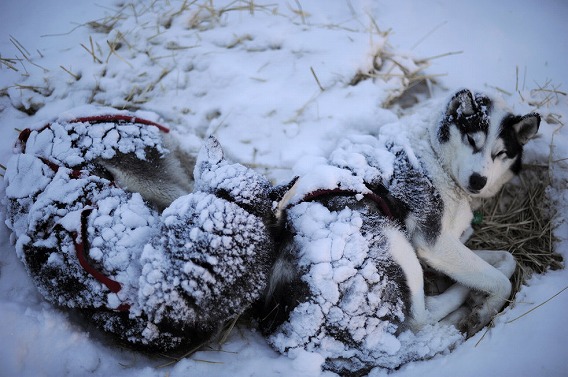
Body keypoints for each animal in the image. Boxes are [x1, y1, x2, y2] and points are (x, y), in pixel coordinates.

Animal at [260, 89, 540, 374]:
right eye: (472, 140)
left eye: (501, 153)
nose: (478, 180)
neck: (434, 153)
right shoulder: (434, 242)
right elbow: (500, 280)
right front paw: (485, 308)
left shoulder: (450, 244)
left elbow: (507, 259)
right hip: (394, 242)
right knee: (422, 317)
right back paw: (461, 300)